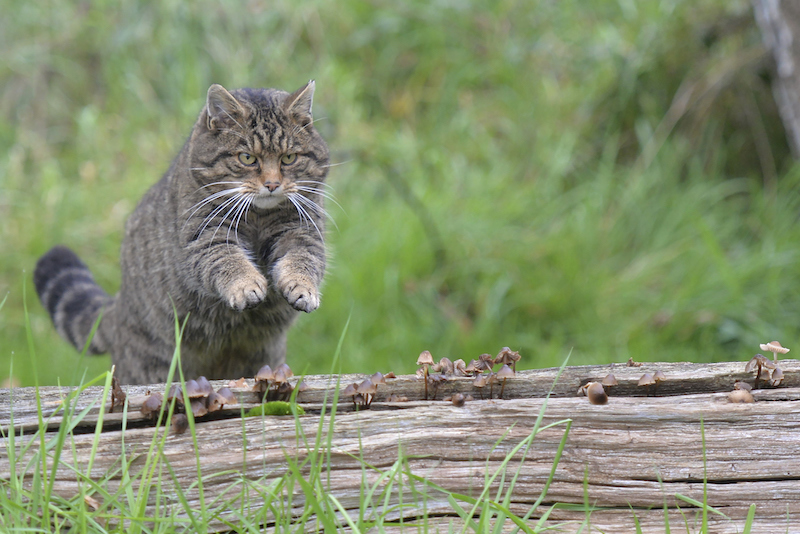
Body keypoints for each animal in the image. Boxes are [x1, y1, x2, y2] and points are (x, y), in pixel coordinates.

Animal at [32, 80, 330, 386]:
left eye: (289, 158)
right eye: (247, 158)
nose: (272, 184)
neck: (258, 216)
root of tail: (118, 307)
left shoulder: (302, 233)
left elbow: (303, 262)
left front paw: (302, 289)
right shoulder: (205, 237)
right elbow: (229, 262)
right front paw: (247, 285)